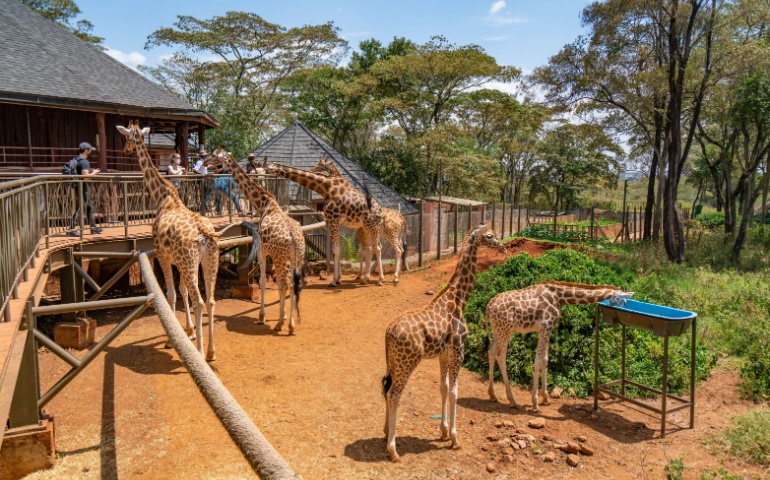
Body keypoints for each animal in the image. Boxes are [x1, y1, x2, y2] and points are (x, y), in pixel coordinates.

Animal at [116, 123, 225, 360]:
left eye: (127, 137)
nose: (125, 150)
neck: (162, 198)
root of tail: (203, 231)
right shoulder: (178, 262)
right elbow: (182, 292)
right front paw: (189, 332)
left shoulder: (162, 256)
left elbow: (171, 294)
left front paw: (170, 340)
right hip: (207, 261)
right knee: (210, 300)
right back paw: (211, 351)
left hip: (190, 262)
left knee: (199, 301)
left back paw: (200, 352)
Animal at [207, 150, 304, 334]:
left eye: (215, 156)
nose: (207, 163)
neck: (264, 204)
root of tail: (294, 238)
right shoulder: (270, 252)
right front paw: (282, 316)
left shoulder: (261, 249)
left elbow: (262, 281)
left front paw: (262, 316)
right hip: (296, 258)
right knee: (293, 284)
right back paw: (291, 325)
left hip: (282, 258)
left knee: (285, 284)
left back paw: (282, 325)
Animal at [260, 158, 384, 286]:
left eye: (265, 168)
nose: (261, 179)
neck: (326, 188)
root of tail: (380, 211)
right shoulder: (334, 221)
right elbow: (335, 250)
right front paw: (338, 279)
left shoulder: (333, 219)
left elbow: (335, 250)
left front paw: (334, 281)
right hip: (366, 226)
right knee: (371, 248)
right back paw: (365, 278)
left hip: (372, 225)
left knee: (377, 247)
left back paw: (380, 280)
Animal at [380, 225, 508, 462]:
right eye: (489, 236)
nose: (503, 247)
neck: (458, 299)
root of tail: (388, 333)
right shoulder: (459, 350)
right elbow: (455, 392)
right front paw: (455, 438)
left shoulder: (444, 354)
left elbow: (443, 387)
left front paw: (444, 431)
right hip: (407, 362)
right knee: (394, 394)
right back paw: (393, 450)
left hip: (392, 362)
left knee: (385, 388)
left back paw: (385, 432)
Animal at [484, 282, 632, 412]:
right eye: (622, 299)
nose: (623, 312)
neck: (559, 297)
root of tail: (489, 306)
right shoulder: (545, 327)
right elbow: (538, 361)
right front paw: (535, 403)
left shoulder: (547, 329)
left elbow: (544, 360)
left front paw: (545, 398)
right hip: (506, 329)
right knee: (500, 356)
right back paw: (512, 400)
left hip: (497, 329)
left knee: (491, 352)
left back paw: (492, 395)